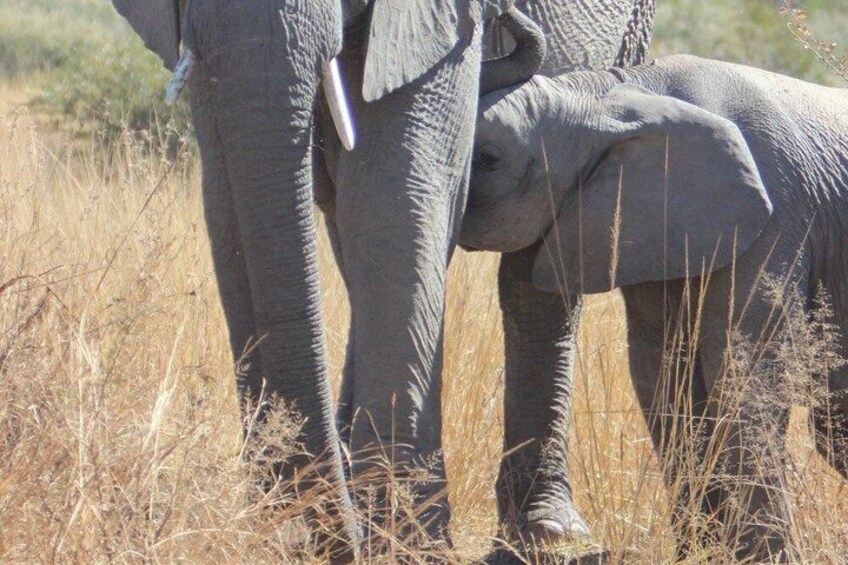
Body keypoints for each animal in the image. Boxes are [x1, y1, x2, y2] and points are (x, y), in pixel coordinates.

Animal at [110, 0, 654, 557]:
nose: (508, 17)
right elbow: (226, 200)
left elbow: (394, 191)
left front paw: (409, 548)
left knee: (536, 270)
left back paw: (546, 532)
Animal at [460, 54, 848, 560]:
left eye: (487, 159)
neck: (617, 92)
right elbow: (663, 375)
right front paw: (703, 555)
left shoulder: (776, 223)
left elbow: (741, 371)